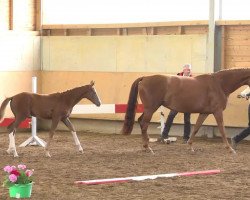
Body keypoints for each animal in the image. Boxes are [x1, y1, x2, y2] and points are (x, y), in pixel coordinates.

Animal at [122, 68, 250, 154]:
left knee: (140, 121)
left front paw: (190, 146)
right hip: (151, 108)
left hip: (150, 108)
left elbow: (196, 128)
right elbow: (222, 129)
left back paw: (146, 146)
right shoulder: (217, 112)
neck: (219, 84)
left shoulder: (204, 113)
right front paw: (230, 149)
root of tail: (145, 78)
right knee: (144, 124)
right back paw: (148, 148)